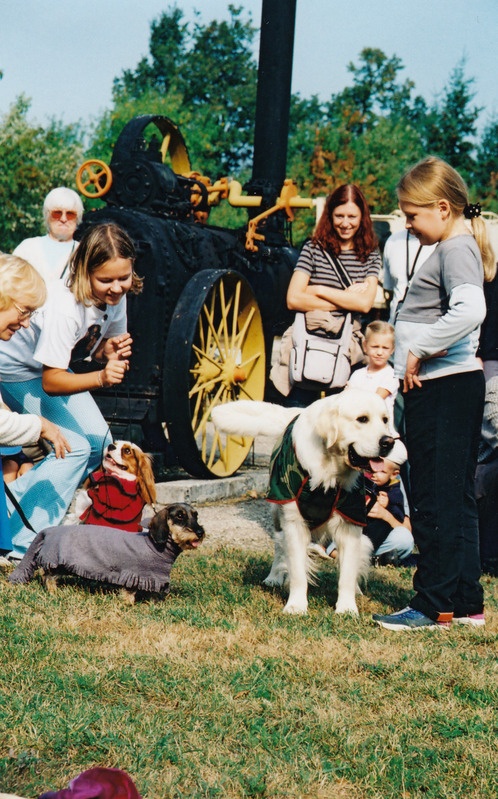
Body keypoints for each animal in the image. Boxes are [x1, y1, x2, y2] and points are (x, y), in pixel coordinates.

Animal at [10, 504, 204, 604]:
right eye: (180, 516)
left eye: (196, 515)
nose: (200, 532)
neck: (154, 546)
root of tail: (48, 530)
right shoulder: (133, 575)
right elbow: (129, 592)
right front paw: (129, 604)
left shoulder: (152, 577)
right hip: (56, 561)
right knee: (48, 575)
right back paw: (53, 592)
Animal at [212, 390, 394, 616]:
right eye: (362, 419)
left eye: (385, 420)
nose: (388, 442)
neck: (329, 472)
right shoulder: (294, 522)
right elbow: (298, 571)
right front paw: (296, 606)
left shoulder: (350, 521)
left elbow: (347, 573)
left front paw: (346, 608)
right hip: (277, 512)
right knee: (279, 545)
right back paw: (274, 576)